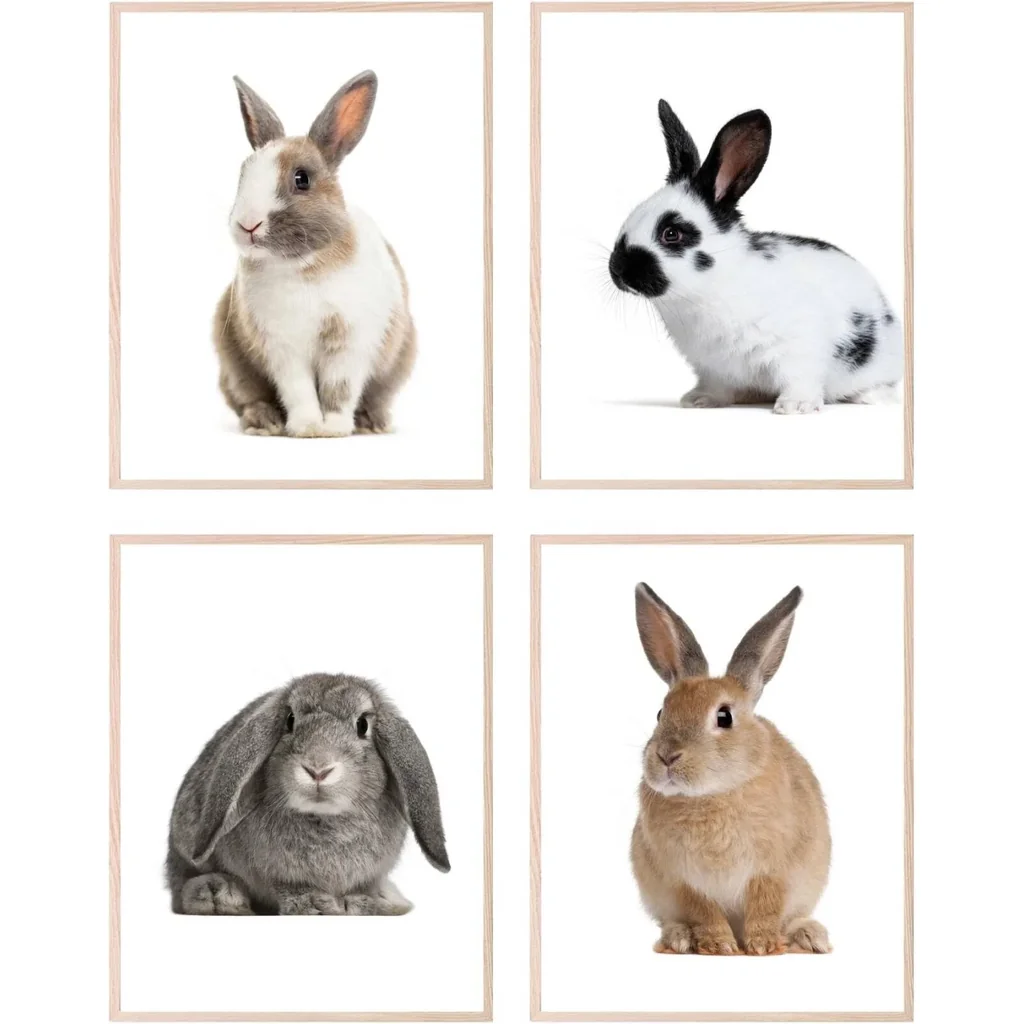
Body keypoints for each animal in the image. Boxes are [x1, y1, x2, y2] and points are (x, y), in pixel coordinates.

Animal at [165, 672, 448, 915]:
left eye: (363, 725)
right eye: (290, 721)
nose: (318, 769)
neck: (325, 817)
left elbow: (362, 889)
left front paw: (356, 904)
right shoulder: (279, 873)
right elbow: (290, 887)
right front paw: (315, 905)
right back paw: (218, 895)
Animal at [213, 71, 416, 438]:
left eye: (302, 179)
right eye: (242, 174)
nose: (247, 225)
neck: (303, 266)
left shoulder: (350, 343)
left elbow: (340, 389)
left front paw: (333, 428)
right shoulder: (283, 348)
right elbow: (299, 390)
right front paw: (307, 427)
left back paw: (373, 423)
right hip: (234, 367)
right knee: (248, 398)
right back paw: (264, 423)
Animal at [608, 102, 902, 414]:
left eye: (672, 234)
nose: (617, 271)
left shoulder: (798, 347)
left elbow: (800, 377)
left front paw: (794, 406)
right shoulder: (713, 367)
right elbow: (716, 386)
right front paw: (699, 400)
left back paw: (871, 397)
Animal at [631, 583, 831, 955]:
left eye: (724, 716)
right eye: (661, 713)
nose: (667, 756)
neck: (711, 795)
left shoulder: (772, 870)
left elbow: (766, 905)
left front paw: (762, 946)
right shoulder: (685, 880)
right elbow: (704, 911)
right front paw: (720, 946)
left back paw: (811, 937)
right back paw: (678, 939)